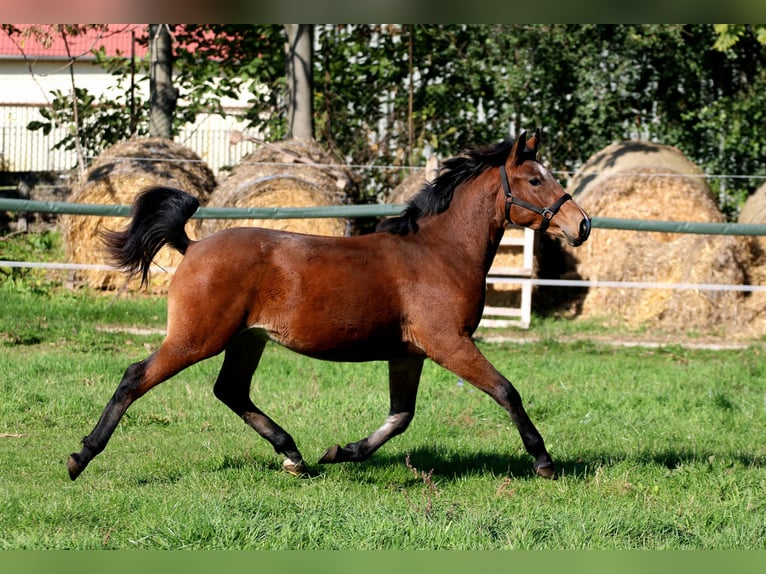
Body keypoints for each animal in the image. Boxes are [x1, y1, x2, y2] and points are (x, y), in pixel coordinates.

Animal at [67, 129, 592, 482]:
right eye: (534, 179)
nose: (581, 225)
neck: (439, 252)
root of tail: (191, 245)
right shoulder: (449, 342)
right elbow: (506, 391)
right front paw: (544, 460)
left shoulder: (409, 353)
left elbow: (400, 417)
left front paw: (343, 452)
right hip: (197, 337)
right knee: (136, 377)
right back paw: (80, 456)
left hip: (246, 340)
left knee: (231, 391)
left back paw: (295, 456)